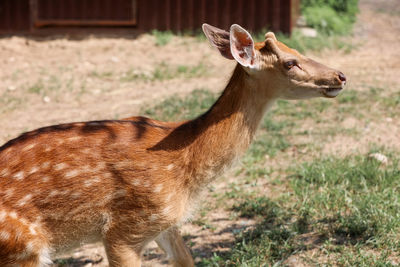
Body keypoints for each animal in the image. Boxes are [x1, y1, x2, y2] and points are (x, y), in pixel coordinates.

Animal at [0, 23, 346, 267]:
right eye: (289, 62)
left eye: (297, 49)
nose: (341, 75)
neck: (186, 167)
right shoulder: (124, 230)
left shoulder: (166, 221)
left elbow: (186, 259)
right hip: (22, 246)